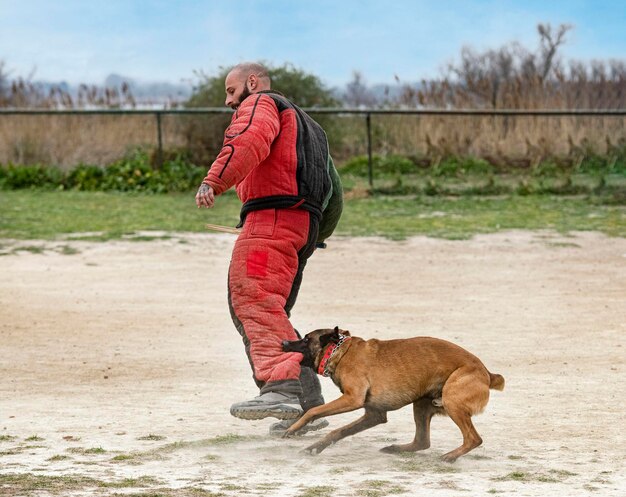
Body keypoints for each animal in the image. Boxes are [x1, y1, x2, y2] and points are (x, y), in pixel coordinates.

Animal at [282, 326, 502, 462]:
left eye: (305, 339)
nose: (284, 342)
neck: (341, 352)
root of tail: (487, 373)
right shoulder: (374, 415)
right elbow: (338, 432)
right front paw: (314, 448)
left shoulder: (351, 399)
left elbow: (314, 411)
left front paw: (293, 429)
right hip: (421, 404)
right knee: (422, 441)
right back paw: (396, 449)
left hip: (452, 401)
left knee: (474, 439)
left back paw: (450, 457)